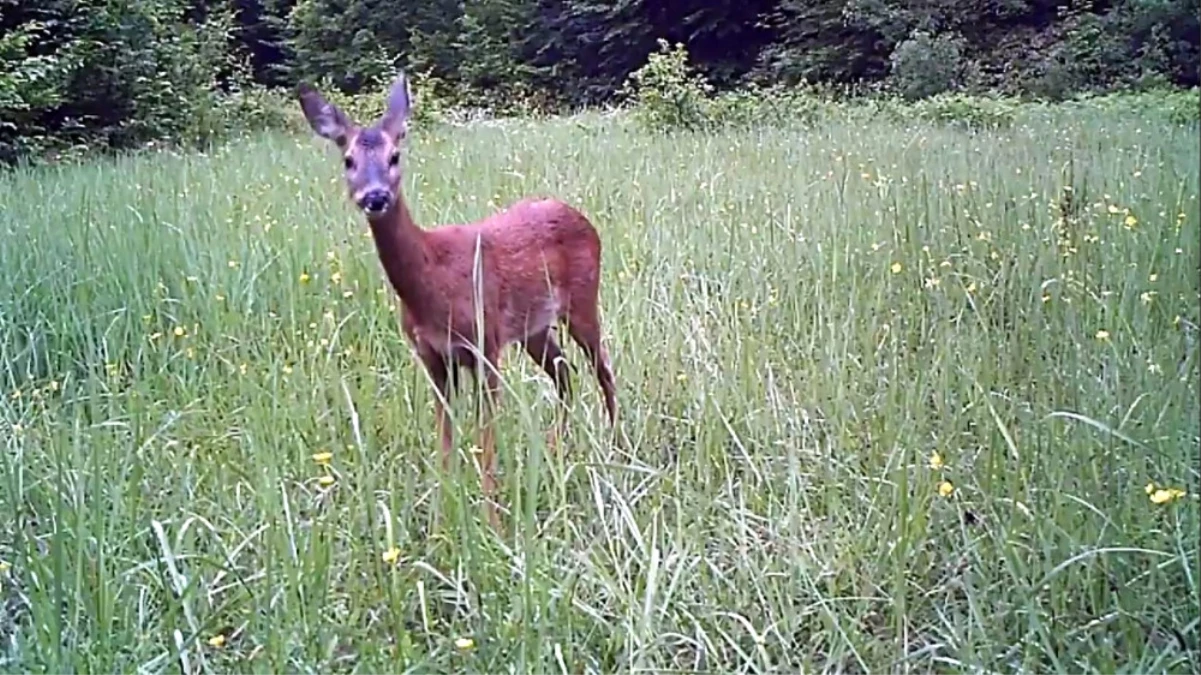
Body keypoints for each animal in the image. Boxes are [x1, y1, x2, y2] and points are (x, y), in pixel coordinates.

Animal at [295, 70, 619, 523]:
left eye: (395, 155)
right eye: (348, 160)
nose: (375, 197)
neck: (433, 284)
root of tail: (581, 216)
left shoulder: (486, 346)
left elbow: (485, 441)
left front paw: (492, 518)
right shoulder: (433, 356)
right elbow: (445, 438)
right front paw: (441, 516)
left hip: (583, 301)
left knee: (602, 369)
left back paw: (616, 449)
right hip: (534, 328)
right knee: (564, 371)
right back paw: (556, 452)